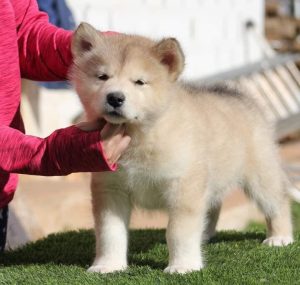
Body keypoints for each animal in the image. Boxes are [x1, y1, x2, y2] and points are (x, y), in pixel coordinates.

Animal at [71, 22, 298, 272]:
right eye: (102, 77)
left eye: (139, 82)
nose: (115, 98)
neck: (142, 136)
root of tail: (239, 95)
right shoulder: (110, 189)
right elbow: (110, 233)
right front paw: (108, 265)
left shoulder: (183, 186)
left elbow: (178, 232)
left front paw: (183, 265)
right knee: (212, 206)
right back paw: (206, 234)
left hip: (261, 175)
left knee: (278, 202)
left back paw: (280, 237)